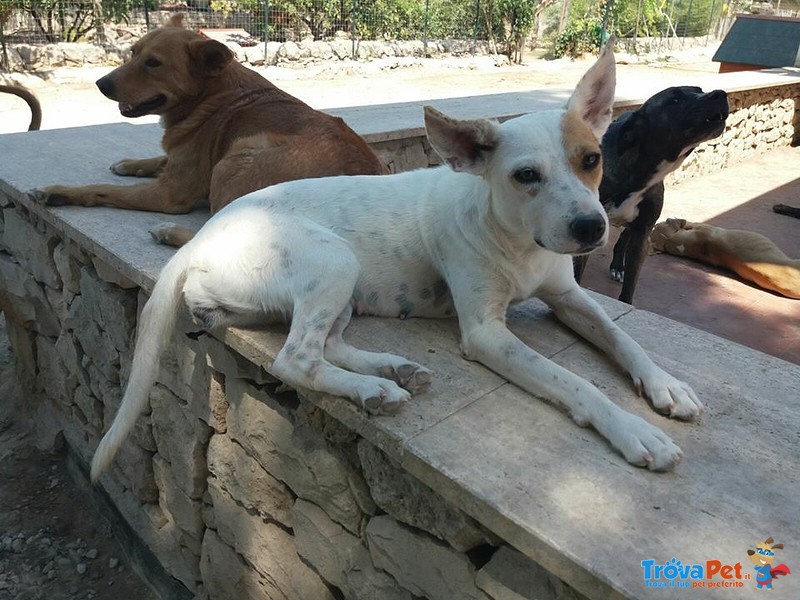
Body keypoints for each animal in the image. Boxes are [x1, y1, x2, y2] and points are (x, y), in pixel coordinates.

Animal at [37, 17, 384, 227]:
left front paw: (62, 191)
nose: (101, 84)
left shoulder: (170, 194)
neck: (210, 96)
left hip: (238, 154)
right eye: (133, 53)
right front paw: (130, 163)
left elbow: (104, 189)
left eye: (153, 63)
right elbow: (161, 157)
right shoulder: (182, 159)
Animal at [90, 44, 700, 480]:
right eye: (526, 175)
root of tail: (203, 235)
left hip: (341, 287)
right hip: (333, 260)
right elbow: (574, 382)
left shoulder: (569, 297)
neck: (515, 237)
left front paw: (666, 386)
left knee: (328, 344)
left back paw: (390, 371)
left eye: (592, 159)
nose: (592, 228)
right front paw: (635, 431)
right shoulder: (486, 332)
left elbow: (622, 337)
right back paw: (375, 390)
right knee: (296, 359)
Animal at [580, 85, 728, 300]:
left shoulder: (643, 232)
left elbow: (632, 281)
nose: (721, 94)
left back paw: (618, 266)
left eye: (699, 89)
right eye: (674, 100)